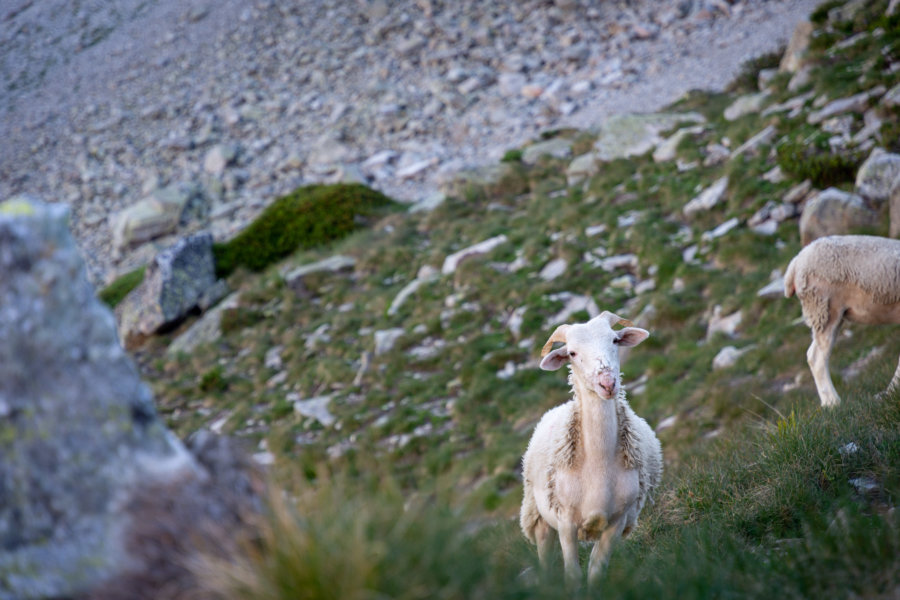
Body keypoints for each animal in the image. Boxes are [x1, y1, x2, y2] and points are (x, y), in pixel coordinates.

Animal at [520, 312, 660, 588]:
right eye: (572, 353)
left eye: (615, 340)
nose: (607, 383)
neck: (598, 463)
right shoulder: (565, 522)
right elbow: (572, 574)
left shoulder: (616, 522)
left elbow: (596, 570)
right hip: (538, 516)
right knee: (545, 558)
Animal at [784, 234, 900, 408]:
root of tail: (796, 263)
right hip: (824, 309)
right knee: (817, 358)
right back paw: (833, 403)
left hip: (829, 315)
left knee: (812, 353)